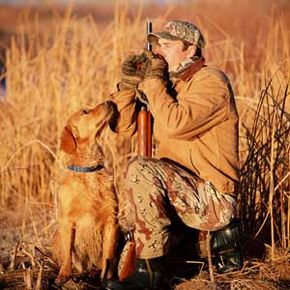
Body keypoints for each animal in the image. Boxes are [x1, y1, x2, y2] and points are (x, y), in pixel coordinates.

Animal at [52, 101, 118, 284]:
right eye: (85, 112)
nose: (110, 101)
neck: (89, 171)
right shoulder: (67, 221)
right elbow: (67, 252)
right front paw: (64, 275)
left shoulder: (111, 219)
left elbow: (108, 254)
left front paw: (106, 277)